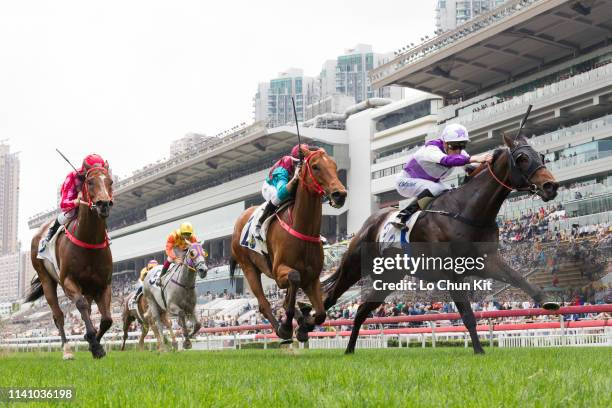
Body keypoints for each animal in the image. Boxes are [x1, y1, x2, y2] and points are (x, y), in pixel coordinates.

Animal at [25, 164, 114, 358]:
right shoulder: (68, 281)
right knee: (58, 315)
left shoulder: (103, 284)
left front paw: (94, 343)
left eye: (110, 181)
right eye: (90, 182)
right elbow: (80, 304)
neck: (89, 240)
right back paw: (66, 350)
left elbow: (107, 320)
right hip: (46, 278)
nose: (104, 204)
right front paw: (94, 343)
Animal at [230, 147, 346, 342]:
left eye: (335, 166)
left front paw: (305, 324)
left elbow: (320, 313)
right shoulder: (279, 272)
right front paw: (288, 326)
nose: (340, 194)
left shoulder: (312, 278)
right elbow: (293, 278)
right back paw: (281, 328)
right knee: (264, 303)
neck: (302, 228)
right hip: (248, 268)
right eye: (316, 166)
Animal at [326, 134, 560, 354]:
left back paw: (349, 349)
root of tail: (369, 222)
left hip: (388, 278)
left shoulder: (487, 261)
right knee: (331, 297)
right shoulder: (452, 273)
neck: (467, 211)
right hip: (355, 266)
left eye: (541, 156)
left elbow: (519, 278)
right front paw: (479, 350)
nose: (551, 186)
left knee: (362, 310)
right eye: (522, 158)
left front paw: (547, 300)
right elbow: (467, 314)